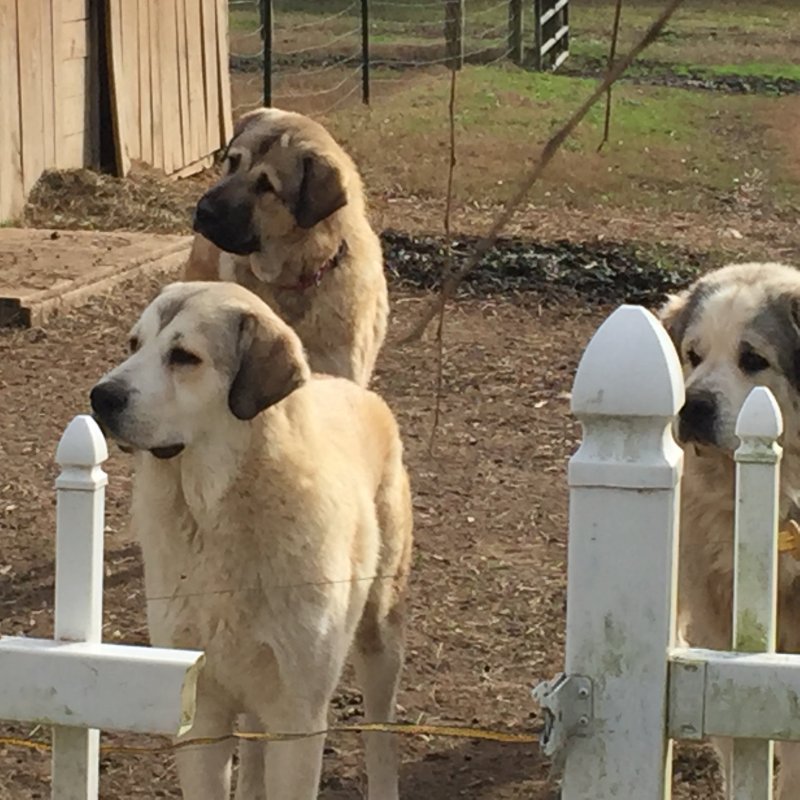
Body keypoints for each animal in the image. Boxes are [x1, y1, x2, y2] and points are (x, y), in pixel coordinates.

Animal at [90, 282, 412, 800]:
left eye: (183, 357)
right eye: (133, 344)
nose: (100, 397)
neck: (213, 517)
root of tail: (353, 390)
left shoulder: (297, 717)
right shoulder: (201, 710)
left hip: (379, 632)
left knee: (380, 734)